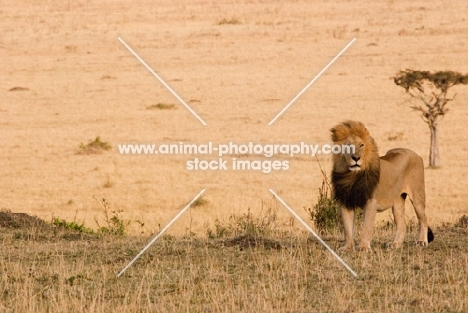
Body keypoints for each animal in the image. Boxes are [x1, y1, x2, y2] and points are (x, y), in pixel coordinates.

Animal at [330, 120, 436, 250]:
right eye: (348, 145)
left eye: (361, 145)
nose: (356, 158)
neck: (351, 175)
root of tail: (417, 154)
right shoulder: (346, 201)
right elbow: (347, 228)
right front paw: (347, 247)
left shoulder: (371, 202)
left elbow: (367, 226)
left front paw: (363, 247)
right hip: (397, 201)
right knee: (402, 222)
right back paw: (396, 244)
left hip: (417, 196)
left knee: (423, 218)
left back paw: (421, 241)